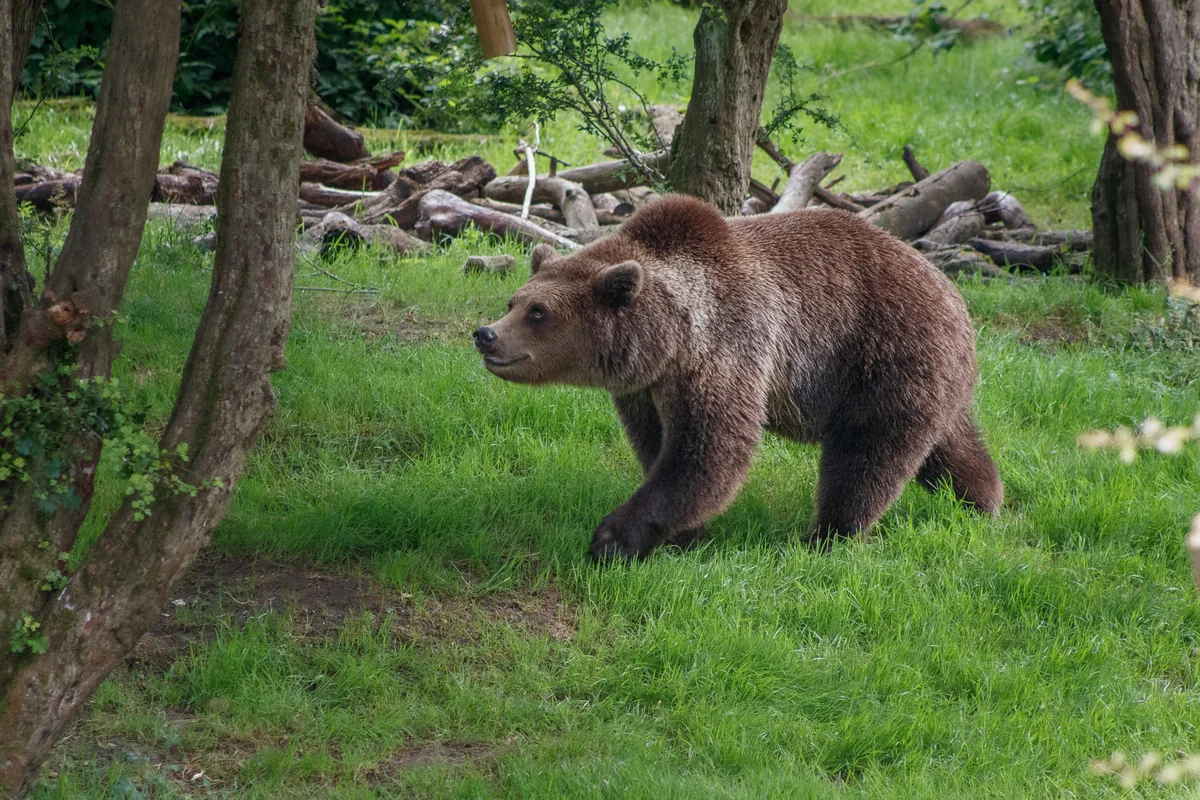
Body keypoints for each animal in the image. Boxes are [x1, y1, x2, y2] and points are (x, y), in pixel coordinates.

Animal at [473, 194, 1003, 561]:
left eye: (538, 312)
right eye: (514, 301)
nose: (486, 335)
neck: (671, 337)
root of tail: (953, 294)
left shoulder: (726, 348)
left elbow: (709, 449)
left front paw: (613, 538)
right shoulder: (646, 387)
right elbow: (657, 443)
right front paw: (684, 535)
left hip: (884, 356)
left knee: (866, 458)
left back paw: (828, 536)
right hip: (927, 379)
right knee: (949, 446)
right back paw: (984, 503)